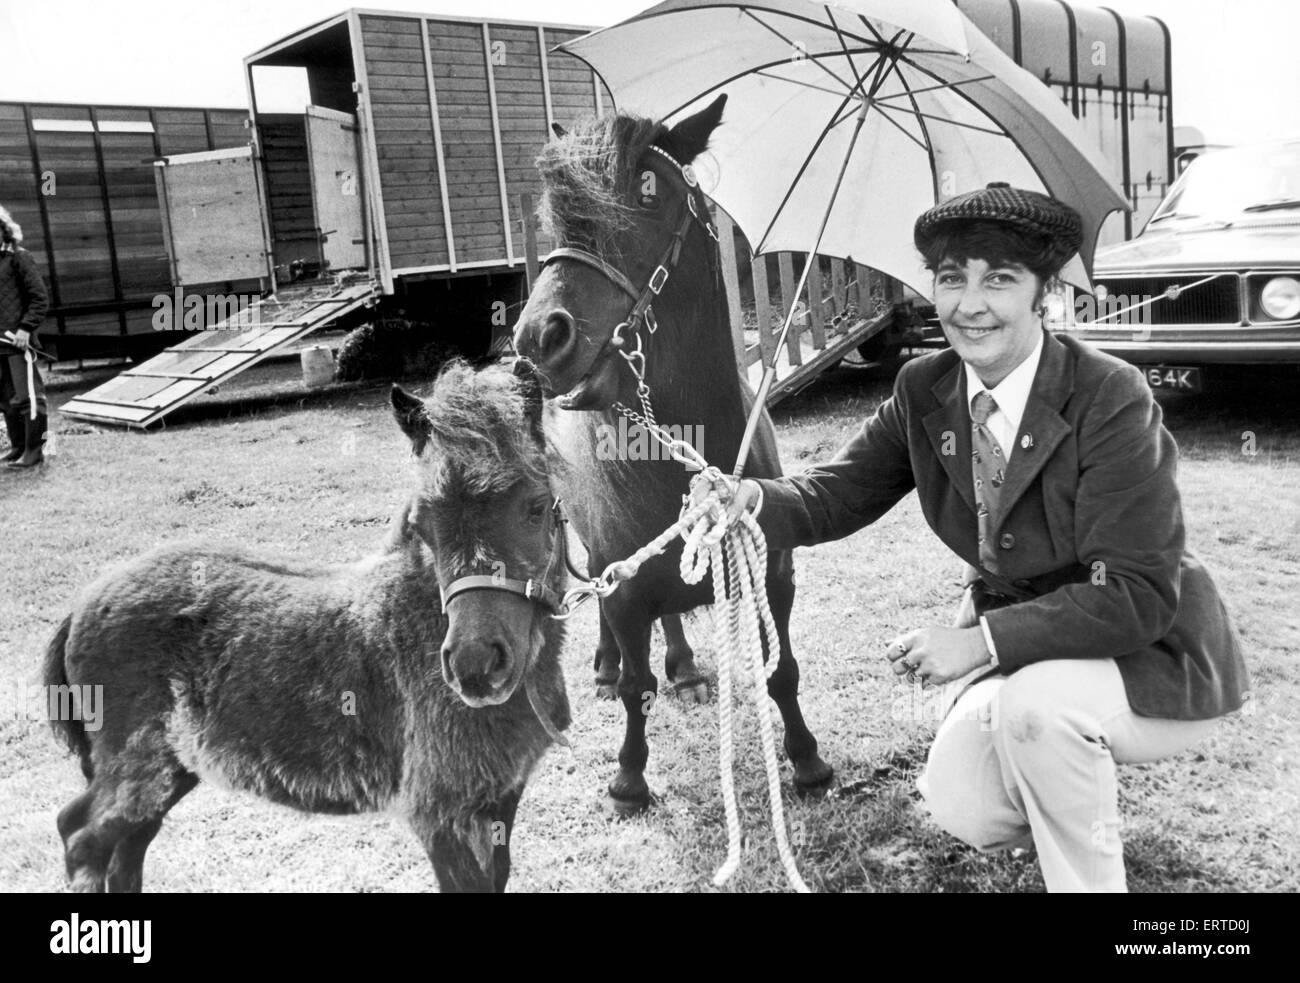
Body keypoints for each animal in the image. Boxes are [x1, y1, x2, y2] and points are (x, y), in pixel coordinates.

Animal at [44, 361, 569, 889]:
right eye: (423, 524)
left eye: (537, 506)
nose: (474, 666)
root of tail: (82, 604)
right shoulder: (440, 811)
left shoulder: (500, 797)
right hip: (139, 767)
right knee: (80, 834)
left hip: (171, 767)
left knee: (126, 847)